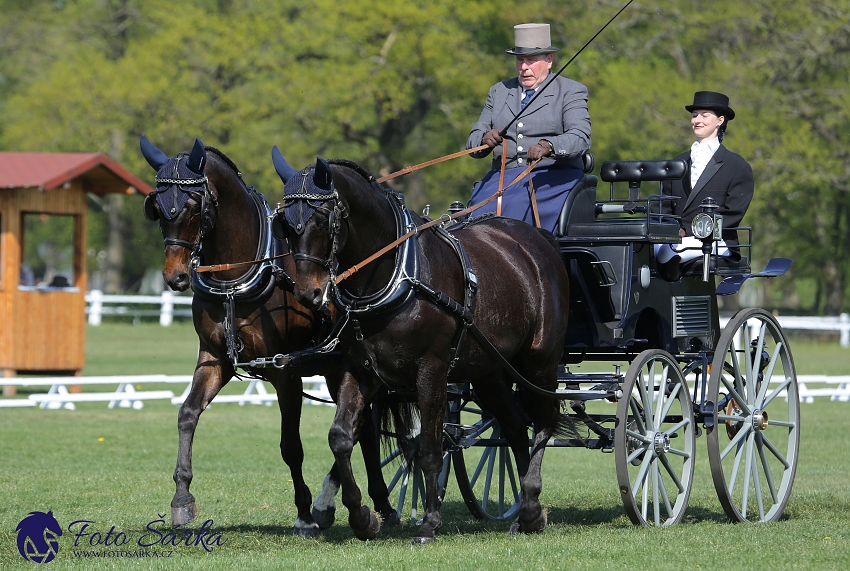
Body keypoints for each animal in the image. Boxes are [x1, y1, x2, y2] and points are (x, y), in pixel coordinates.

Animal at [138, 137, 398, 536]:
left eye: (194, 205)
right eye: (158, 206)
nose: (175, 277)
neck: (238, 280)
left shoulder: (285, 372)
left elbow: (291, 446)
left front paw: (304, 514)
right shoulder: (214, 359)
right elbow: (187, 414)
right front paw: (182, 499)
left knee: (359, 428)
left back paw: (343, 505)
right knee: (364, 428)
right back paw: (375, 503)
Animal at [272, 154, 568, 544]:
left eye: (323, 219)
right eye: (285, 226)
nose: (309, 295)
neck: (395, 274)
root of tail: (538, 240)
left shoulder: (432, 371)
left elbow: (429, 446)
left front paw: (429, 522)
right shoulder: (359, 370)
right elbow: (341, 437)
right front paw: (362, 517)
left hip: (539, 362)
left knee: (544, 422)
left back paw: (531, 501)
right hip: (488, 371)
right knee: (517, 426)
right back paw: (528, 512)